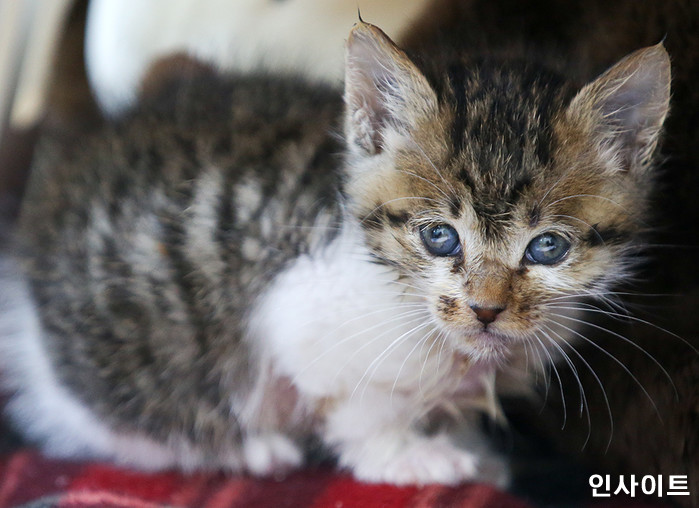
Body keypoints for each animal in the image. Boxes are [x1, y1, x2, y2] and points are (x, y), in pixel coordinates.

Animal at [0, 21, 672, 486]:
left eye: (547, 247)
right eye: (440, 237)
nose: (486, 310)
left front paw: (468, 446)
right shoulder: (300, 318)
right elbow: (362, 413)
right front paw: (413, 459)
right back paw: (252, 449)